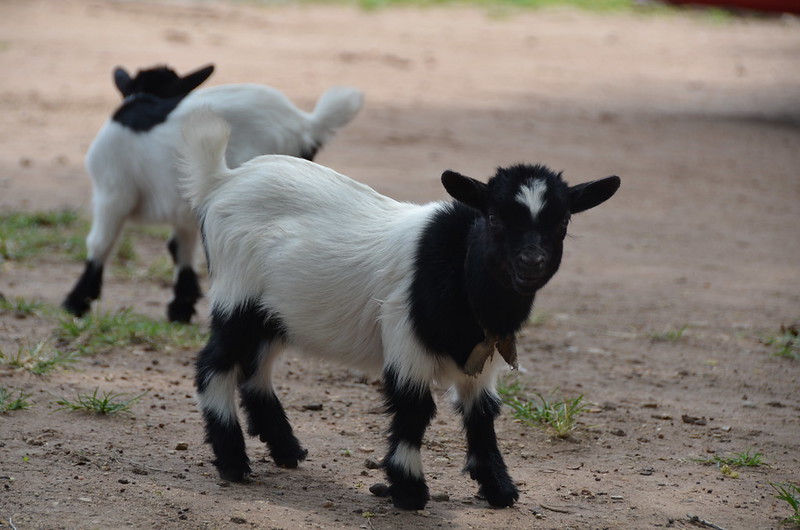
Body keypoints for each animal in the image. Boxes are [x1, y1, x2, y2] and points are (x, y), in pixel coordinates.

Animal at [62, 64, 364, 322]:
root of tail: (303, 124)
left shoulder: (112, 192)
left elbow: (100, 243)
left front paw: (77, 301)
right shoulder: (182, 208)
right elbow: (181, 248)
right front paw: (182, 306)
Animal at [179, 109, 620, 510]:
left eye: (562, 221)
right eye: (494, 218)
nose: (531, 262)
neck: (458, 270)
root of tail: (222, 181)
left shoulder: (485, 353)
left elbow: (482, 413)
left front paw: (498, 487)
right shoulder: (406, 338)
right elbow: (413, 407)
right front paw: (408, 490)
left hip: (274, 315)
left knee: (255, 367)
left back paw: (287, 449)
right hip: (238, 297)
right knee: (215, 365)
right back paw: (233, 462)